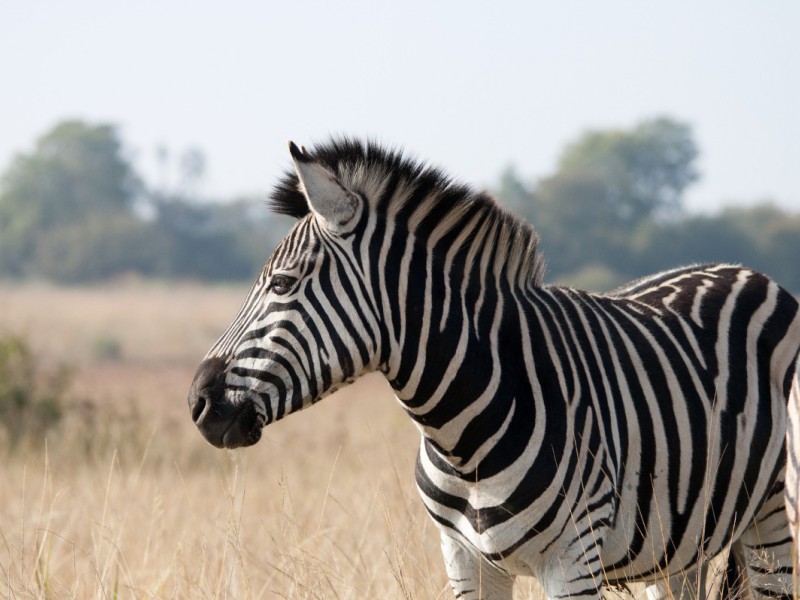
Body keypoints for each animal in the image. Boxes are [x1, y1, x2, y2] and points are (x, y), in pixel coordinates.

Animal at [189, 138, 800, 596]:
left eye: (281, 284)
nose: (198, 401)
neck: (464, 437)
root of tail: (746, 270)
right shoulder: (464, 560)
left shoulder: (573, 561)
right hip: (680, 544)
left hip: (772, 523)